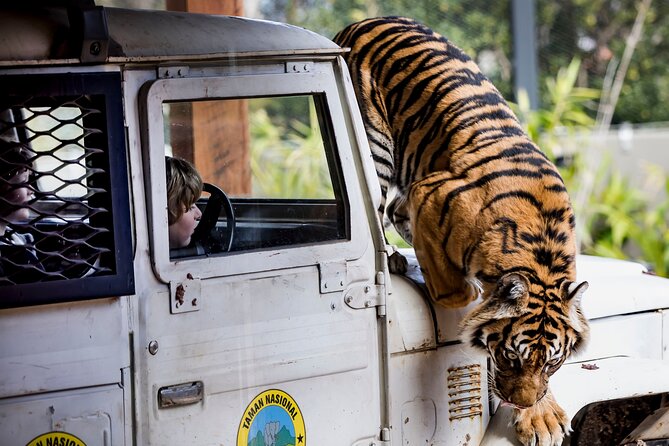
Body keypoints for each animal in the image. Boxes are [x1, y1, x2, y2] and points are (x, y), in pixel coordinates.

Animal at [336, 16, 588, 446]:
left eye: (551, 364)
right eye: (510, 356)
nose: (519, 403)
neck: (540, 254)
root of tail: (362, 20)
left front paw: (542, 417)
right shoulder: (430, 191)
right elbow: (457, 294)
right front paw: (462, 294)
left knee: (394, 210)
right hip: (376, 145)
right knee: (379, 207)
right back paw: (394, 259)